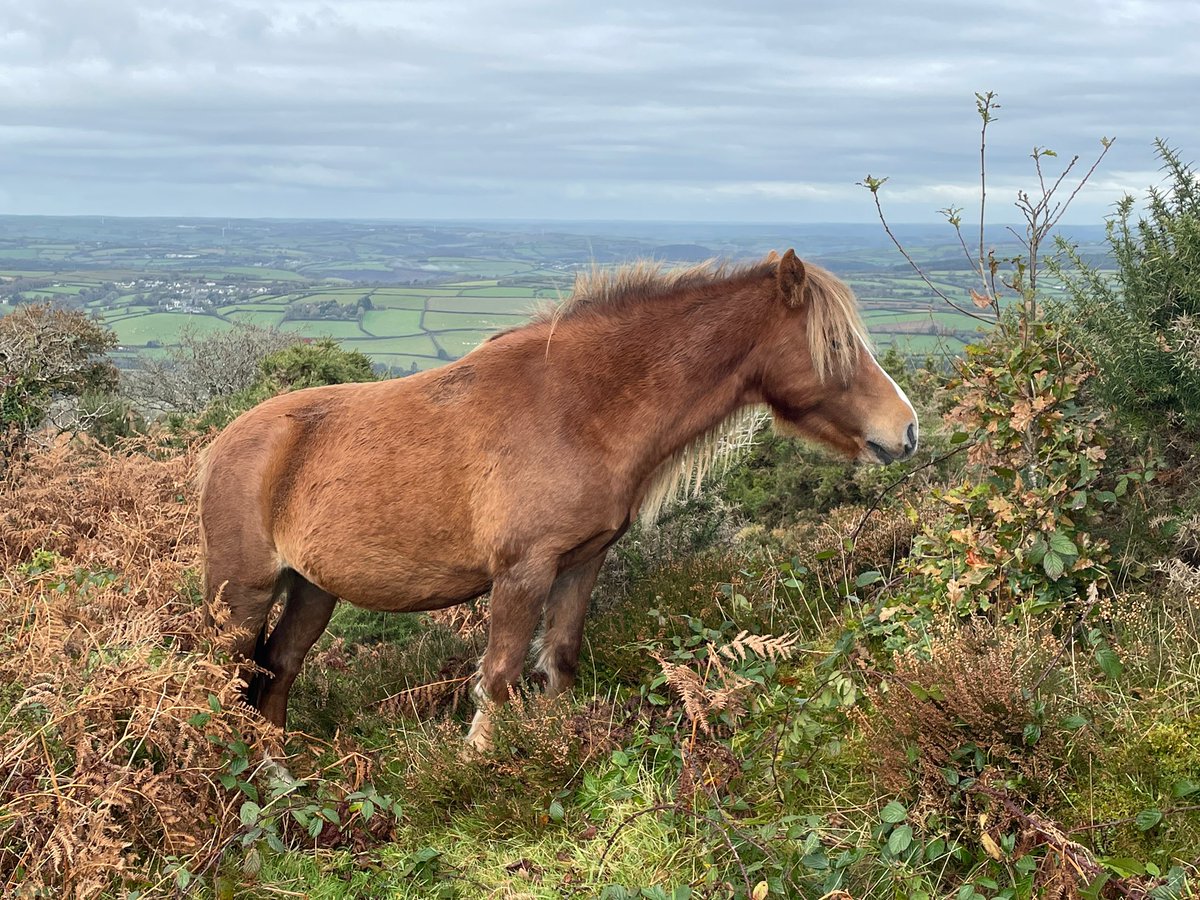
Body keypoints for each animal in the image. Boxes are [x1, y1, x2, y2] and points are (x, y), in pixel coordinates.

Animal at [198, 249, 918, 751]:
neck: (578, 406)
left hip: (312, 589)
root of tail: (222, 445)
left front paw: (559, 738)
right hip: (241, 595)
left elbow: (561, 656)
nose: (906, 430)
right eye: (836, 344)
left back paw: (283, 775)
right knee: (224, 675)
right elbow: (499, 674)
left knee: (277, 669)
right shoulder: (523, 572)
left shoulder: (582, 561)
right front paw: (479, 761)